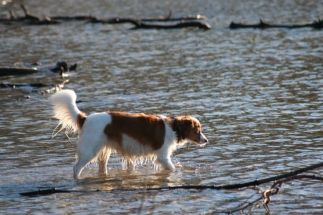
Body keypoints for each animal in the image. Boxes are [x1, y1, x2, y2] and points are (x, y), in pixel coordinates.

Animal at [49, 89, 209, 178]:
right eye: (198, 130)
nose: (206, 140)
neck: (174, 127)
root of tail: (85, 118)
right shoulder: (163, 156)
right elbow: (172, 168)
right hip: (91, 150)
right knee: (76, 168)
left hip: (103, 151)